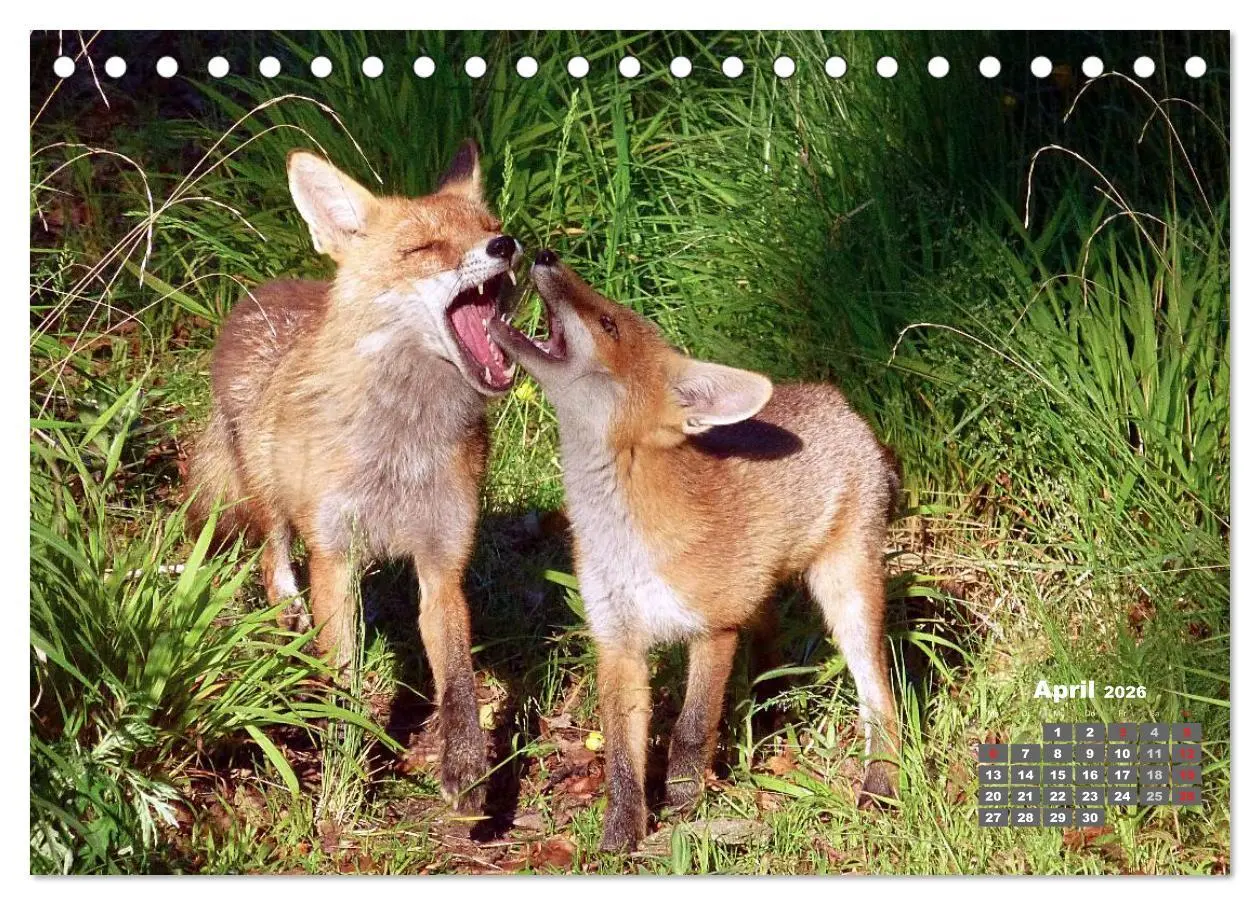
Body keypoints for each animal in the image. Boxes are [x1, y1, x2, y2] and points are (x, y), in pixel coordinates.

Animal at [186, 141, 521, 812]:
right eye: (425, 248)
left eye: (489, 228)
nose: (508, 246)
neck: (400, 447)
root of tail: (267, 290)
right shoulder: (334, 553)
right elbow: (344, 678)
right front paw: (343, 764)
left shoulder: (442, 558)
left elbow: (458, 680)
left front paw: (467, 768)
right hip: (267, 494)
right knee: (272, 559)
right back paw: (288, 614)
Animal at [489, 250, 902, 851]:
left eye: (608, 323)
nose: (544, 255)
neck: (623, 542)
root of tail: (837, 399)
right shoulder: (617, 641)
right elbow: (621, 756)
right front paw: (622, 835)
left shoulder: (715, 628)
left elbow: (689, 729)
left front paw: (684, 805)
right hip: (764, 598)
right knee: (771, 651)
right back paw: (769, 718)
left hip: (846, 596)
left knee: (881, 698)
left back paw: (882, 783)